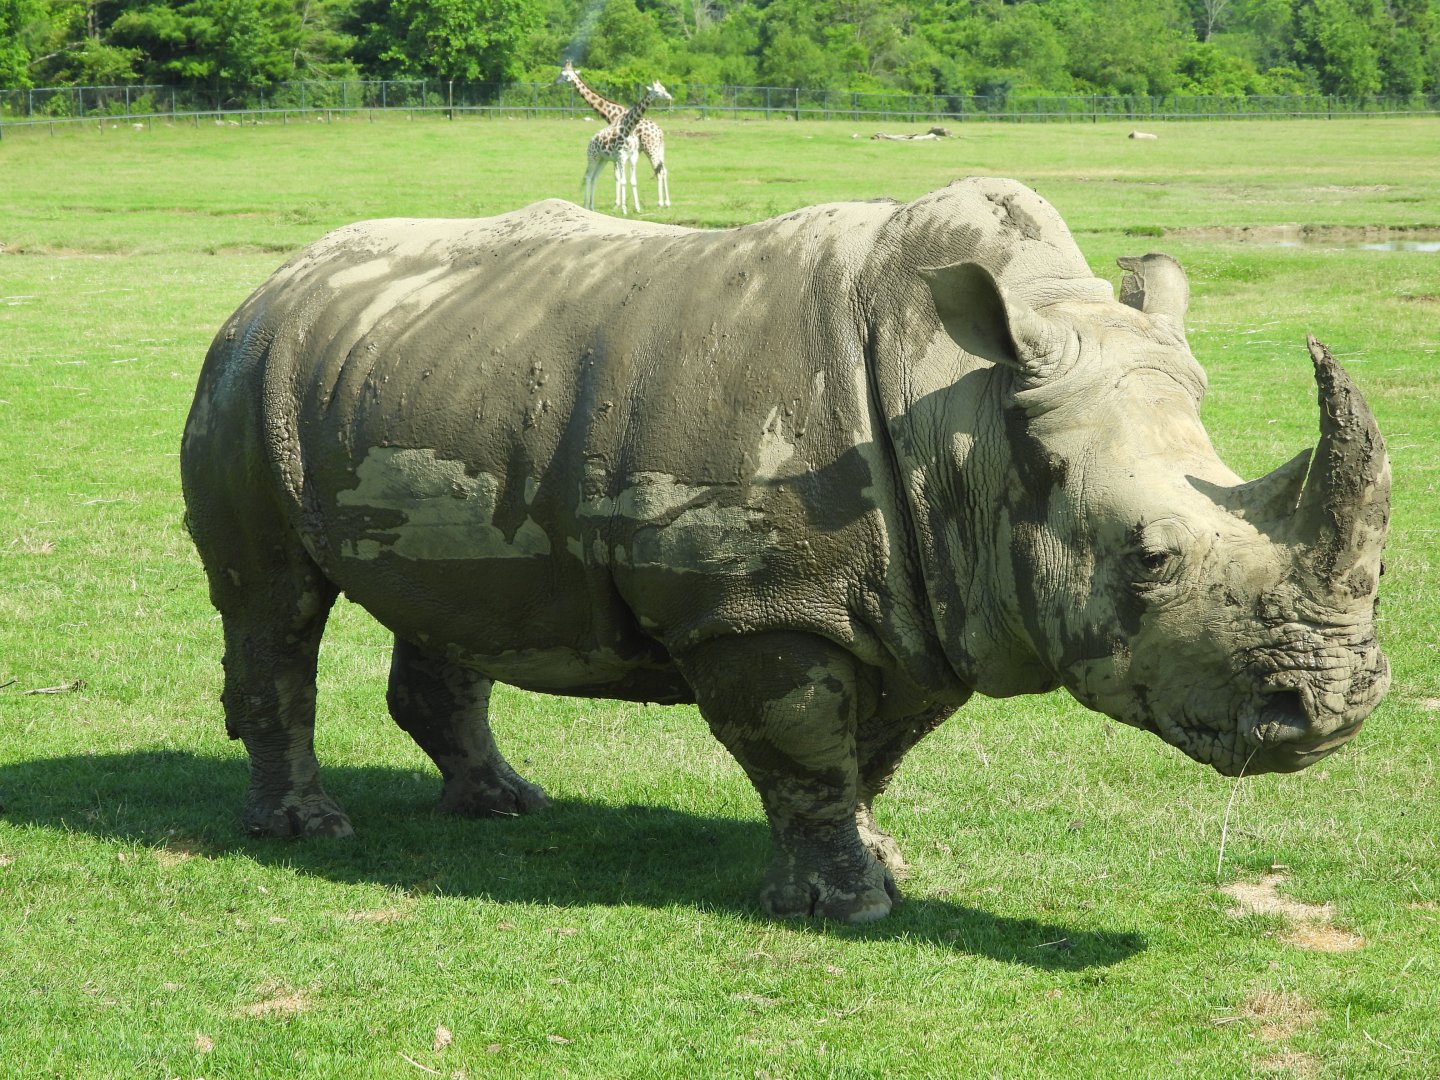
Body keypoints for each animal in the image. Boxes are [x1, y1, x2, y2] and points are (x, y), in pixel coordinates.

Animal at [180, 177, 1390, 923]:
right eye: (1150, 559)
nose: (1333, 712)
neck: (973, 421)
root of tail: (270, 285)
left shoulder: (931, 594)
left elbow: (875, 751)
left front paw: (881, 864)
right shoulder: (760, 606)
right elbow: (806, 745)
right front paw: (846, 907)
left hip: (412, 376)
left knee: (454, 598)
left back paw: (506, 804)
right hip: (245, 377)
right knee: (272, 604)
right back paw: (308, 831)